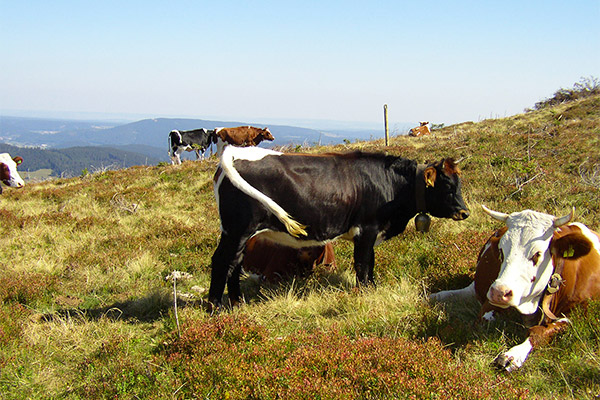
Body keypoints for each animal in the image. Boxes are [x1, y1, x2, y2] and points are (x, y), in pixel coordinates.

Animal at [209, 145, 472, 308]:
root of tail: (235, 153)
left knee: (235, 263)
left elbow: (370, 263)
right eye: (448, 186)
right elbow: (363, 264)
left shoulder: (370, 233)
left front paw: (372, 289)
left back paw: (237, 303)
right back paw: (216, 307)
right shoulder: (366, 229)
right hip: (237, 229)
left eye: (458, 184)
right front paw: (364, 293)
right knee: (222, 261)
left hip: (239, 233)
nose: (465, 212)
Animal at [432, 206, 600, 372]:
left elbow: (540, 331)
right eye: (501, 251)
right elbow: (484, 320)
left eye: (537, 254)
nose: (499, 292)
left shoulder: (579, 314)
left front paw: (513, 354)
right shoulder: (490, 302)